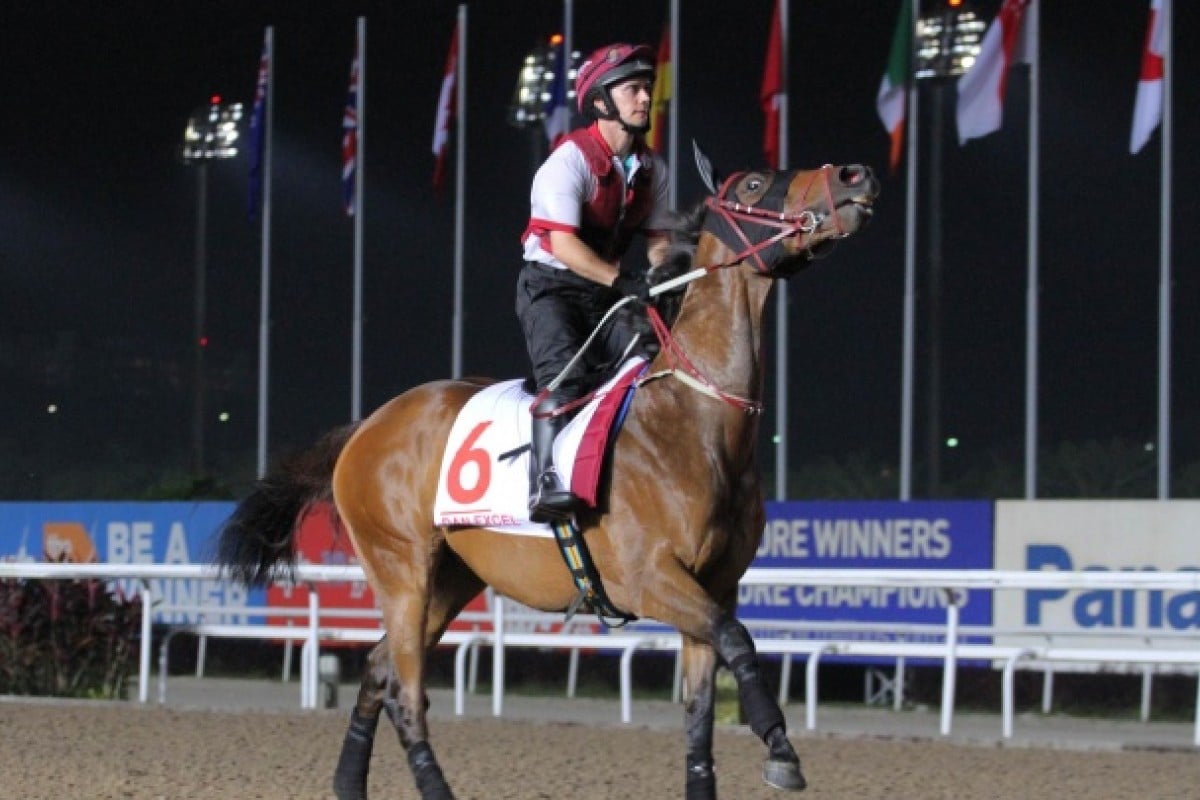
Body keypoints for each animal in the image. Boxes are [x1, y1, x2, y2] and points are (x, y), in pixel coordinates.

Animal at [220, 151, 883, 800]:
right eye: (751, 182)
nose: (856, 174)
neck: (693, 422)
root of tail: (365, 427)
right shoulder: (648, 580)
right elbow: (738, 639)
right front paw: (781, 748)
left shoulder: (716, 583)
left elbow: (700, 708)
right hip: (400, 570)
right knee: (406, 695)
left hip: (450, 578)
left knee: (379, 670)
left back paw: (348, 782)